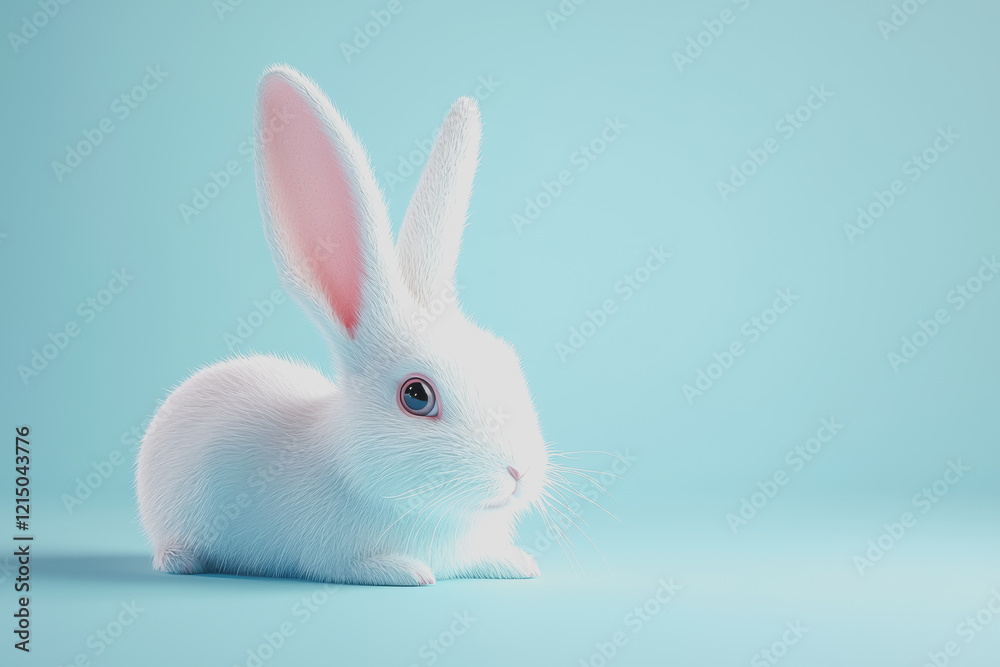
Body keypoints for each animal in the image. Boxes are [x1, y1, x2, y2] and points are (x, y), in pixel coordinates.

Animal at [135, 64, 553, 586]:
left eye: (507, 361)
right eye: (417, 396)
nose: (518, 473)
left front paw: (517, 562)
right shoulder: (331, 556)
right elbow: (360, 566)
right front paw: (408, 571)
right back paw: (181, 560)